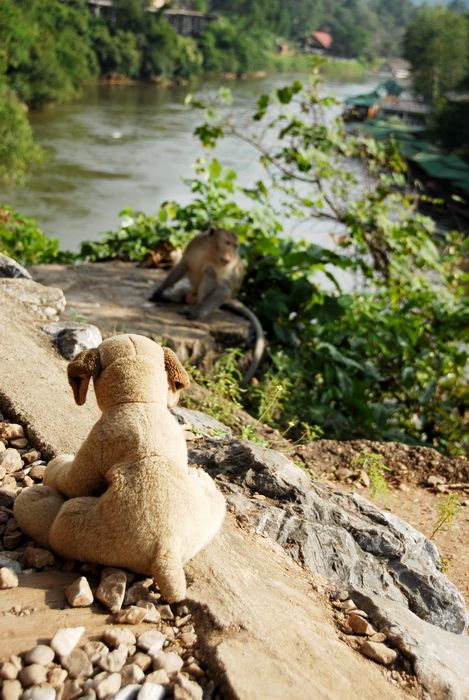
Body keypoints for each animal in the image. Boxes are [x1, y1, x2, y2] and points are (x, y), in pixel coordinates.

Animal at [148, 227, 264, 386]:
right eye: (227, 243)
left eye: (235, 246)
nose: (231, 254)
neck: (211, 252)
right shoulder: (195, 243)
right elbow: (183, 265)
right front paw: (159, 291)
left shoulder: (230, 267)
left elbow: (223, 288)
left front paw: (198, 312)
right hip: (189, 289)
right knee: (184, 290)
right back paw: (172, 298)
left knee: (209, 273)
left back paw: (195, 307)